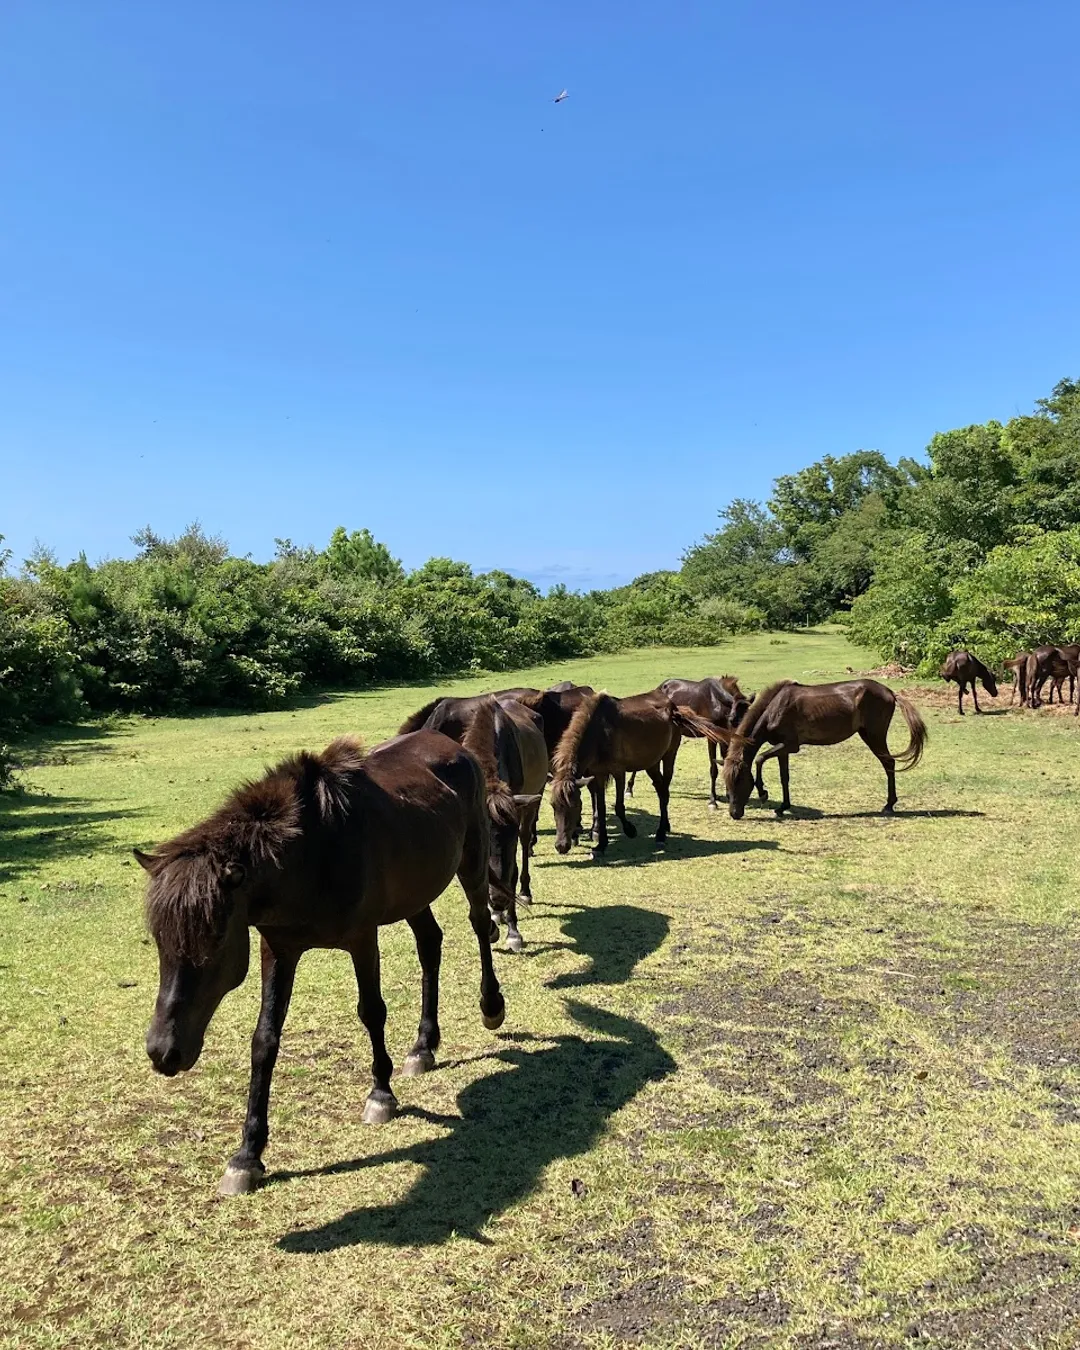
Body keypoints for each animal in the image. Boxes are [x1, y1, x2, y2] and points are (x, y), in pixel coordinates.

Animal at [136, 729, 507, 1193]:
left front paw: (381, 1094)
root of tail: (450, 743)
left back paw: (491, 1007)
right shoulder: (278, 950)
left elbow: (372, 1012)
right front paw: (247, 1155)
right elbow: (265, 1040)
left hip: (472, 861)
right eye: (159, 939)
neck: (313, 854)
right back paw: (423, 1047)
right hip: (415, 892)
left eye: (216, 937)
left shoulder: (362, 939)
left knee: (479, 924)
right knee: (430, 944)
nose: (163, 1052)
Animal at [410, 696, 553, 950]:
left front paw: (513, 930)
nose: (498, 900)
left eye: (510, 838)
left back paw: (524, 892)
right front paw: (494, 923)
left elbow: (512, 872)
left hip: (534, 798)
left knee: (527, 840)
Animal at [548, 691, 723, 858]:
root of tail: (674, 708)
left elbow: (619, 807)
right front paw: (600, 845)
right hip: (651, 763)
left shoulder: (618, 772)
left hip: (669, 756)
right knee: (660, 789)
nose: (561, 846)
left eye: (575, 806)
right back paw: (664, 827)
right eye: (553, 806)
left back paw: (661, 834)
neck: (599, 732)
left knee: (665, 792)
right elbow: (601, 808)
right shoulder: (598, 774)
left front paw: (630, 830)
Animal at [623, 672, 750, 804]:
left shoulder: (723, 737)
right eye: (734, 720)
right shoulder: (712, 737)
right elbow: (713, 769)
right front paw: (712, 800)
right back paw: (629, 790)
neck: (717, 700)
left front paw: (729, 794)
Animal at [718, 680, 928, 815]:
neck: (775, 708)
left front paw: (762, 792)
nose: (734, 813)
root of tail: (890, 692)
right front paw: (783, 807)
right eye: (726, 782)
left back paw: (889, 805)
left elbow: (760, 759)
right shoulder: (783, 749)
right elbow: (784, 777)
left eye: (739, 780)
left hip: (874, 736)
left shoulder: (789, 745)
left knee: (889, 763)